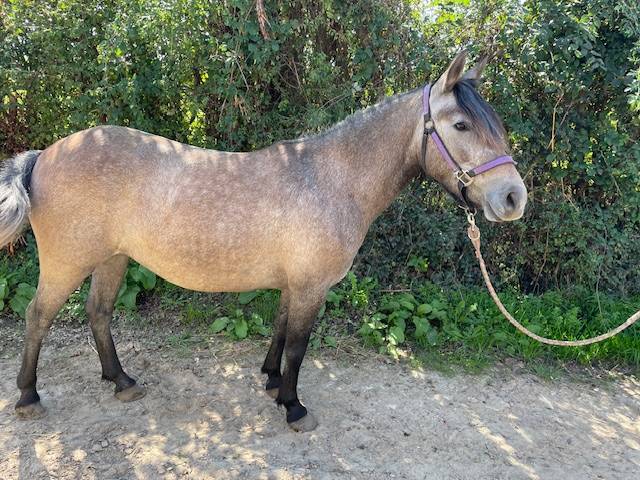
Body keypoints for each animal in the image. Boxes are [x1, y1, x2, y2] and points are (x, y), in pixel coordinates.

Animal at [0, 51, 526, 432]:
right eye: (461, 124)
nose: (513, 197)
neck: (331, 179)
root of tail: (45, 154)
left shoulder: (294, 283)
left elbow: (279, 331)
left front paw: (273, 384)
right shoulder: (312, 286)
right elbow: (298, 345)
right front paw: (294, 407)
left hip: (112, 259)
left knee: (99, 313)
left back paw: (123, 381)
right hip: (68, 262)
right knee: (38, 316)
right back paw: (28, 396)